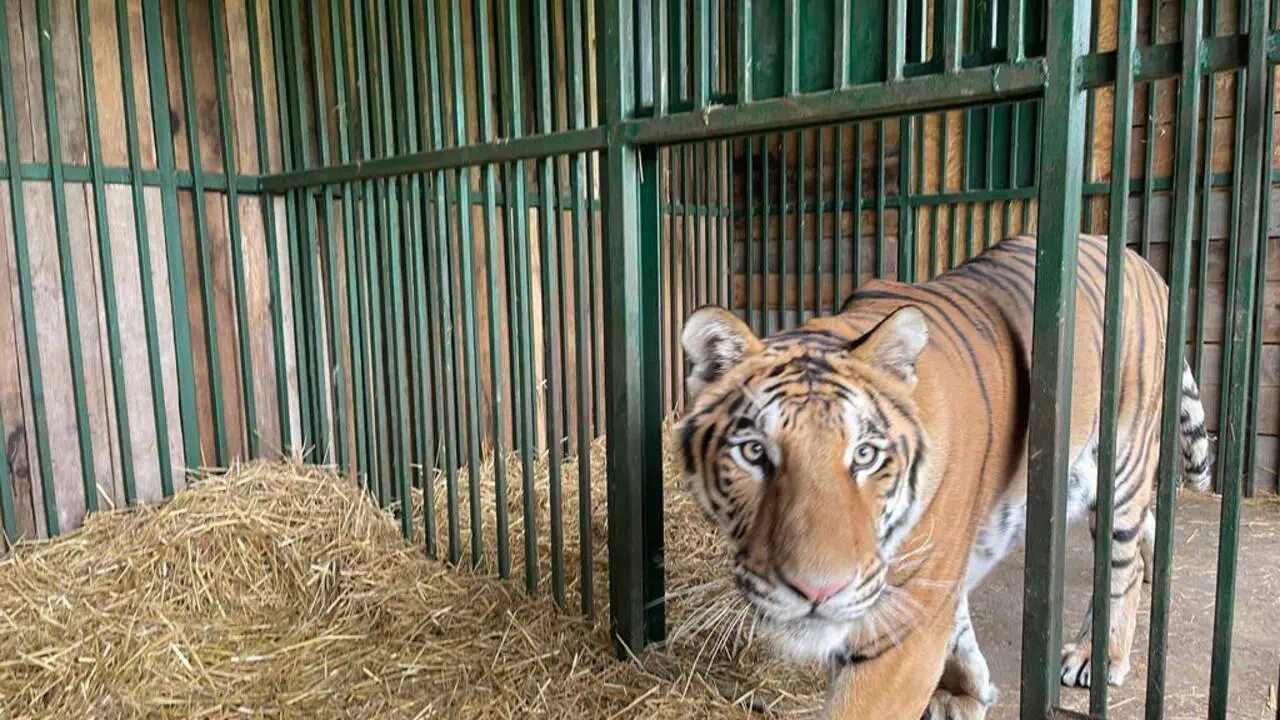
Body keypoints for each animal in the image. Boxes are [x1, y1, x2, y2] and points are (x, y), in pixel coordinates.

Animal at [674, 233, 1211, 719]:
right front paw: (967, 693)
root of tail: (1144, 264)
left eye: (864, 455)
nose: (817, 594)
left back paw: (1096, 656)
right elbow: (959, 630)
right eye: (753, 452)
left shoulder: (903, 620)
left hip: (1125, 459)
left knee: (1123, 563)